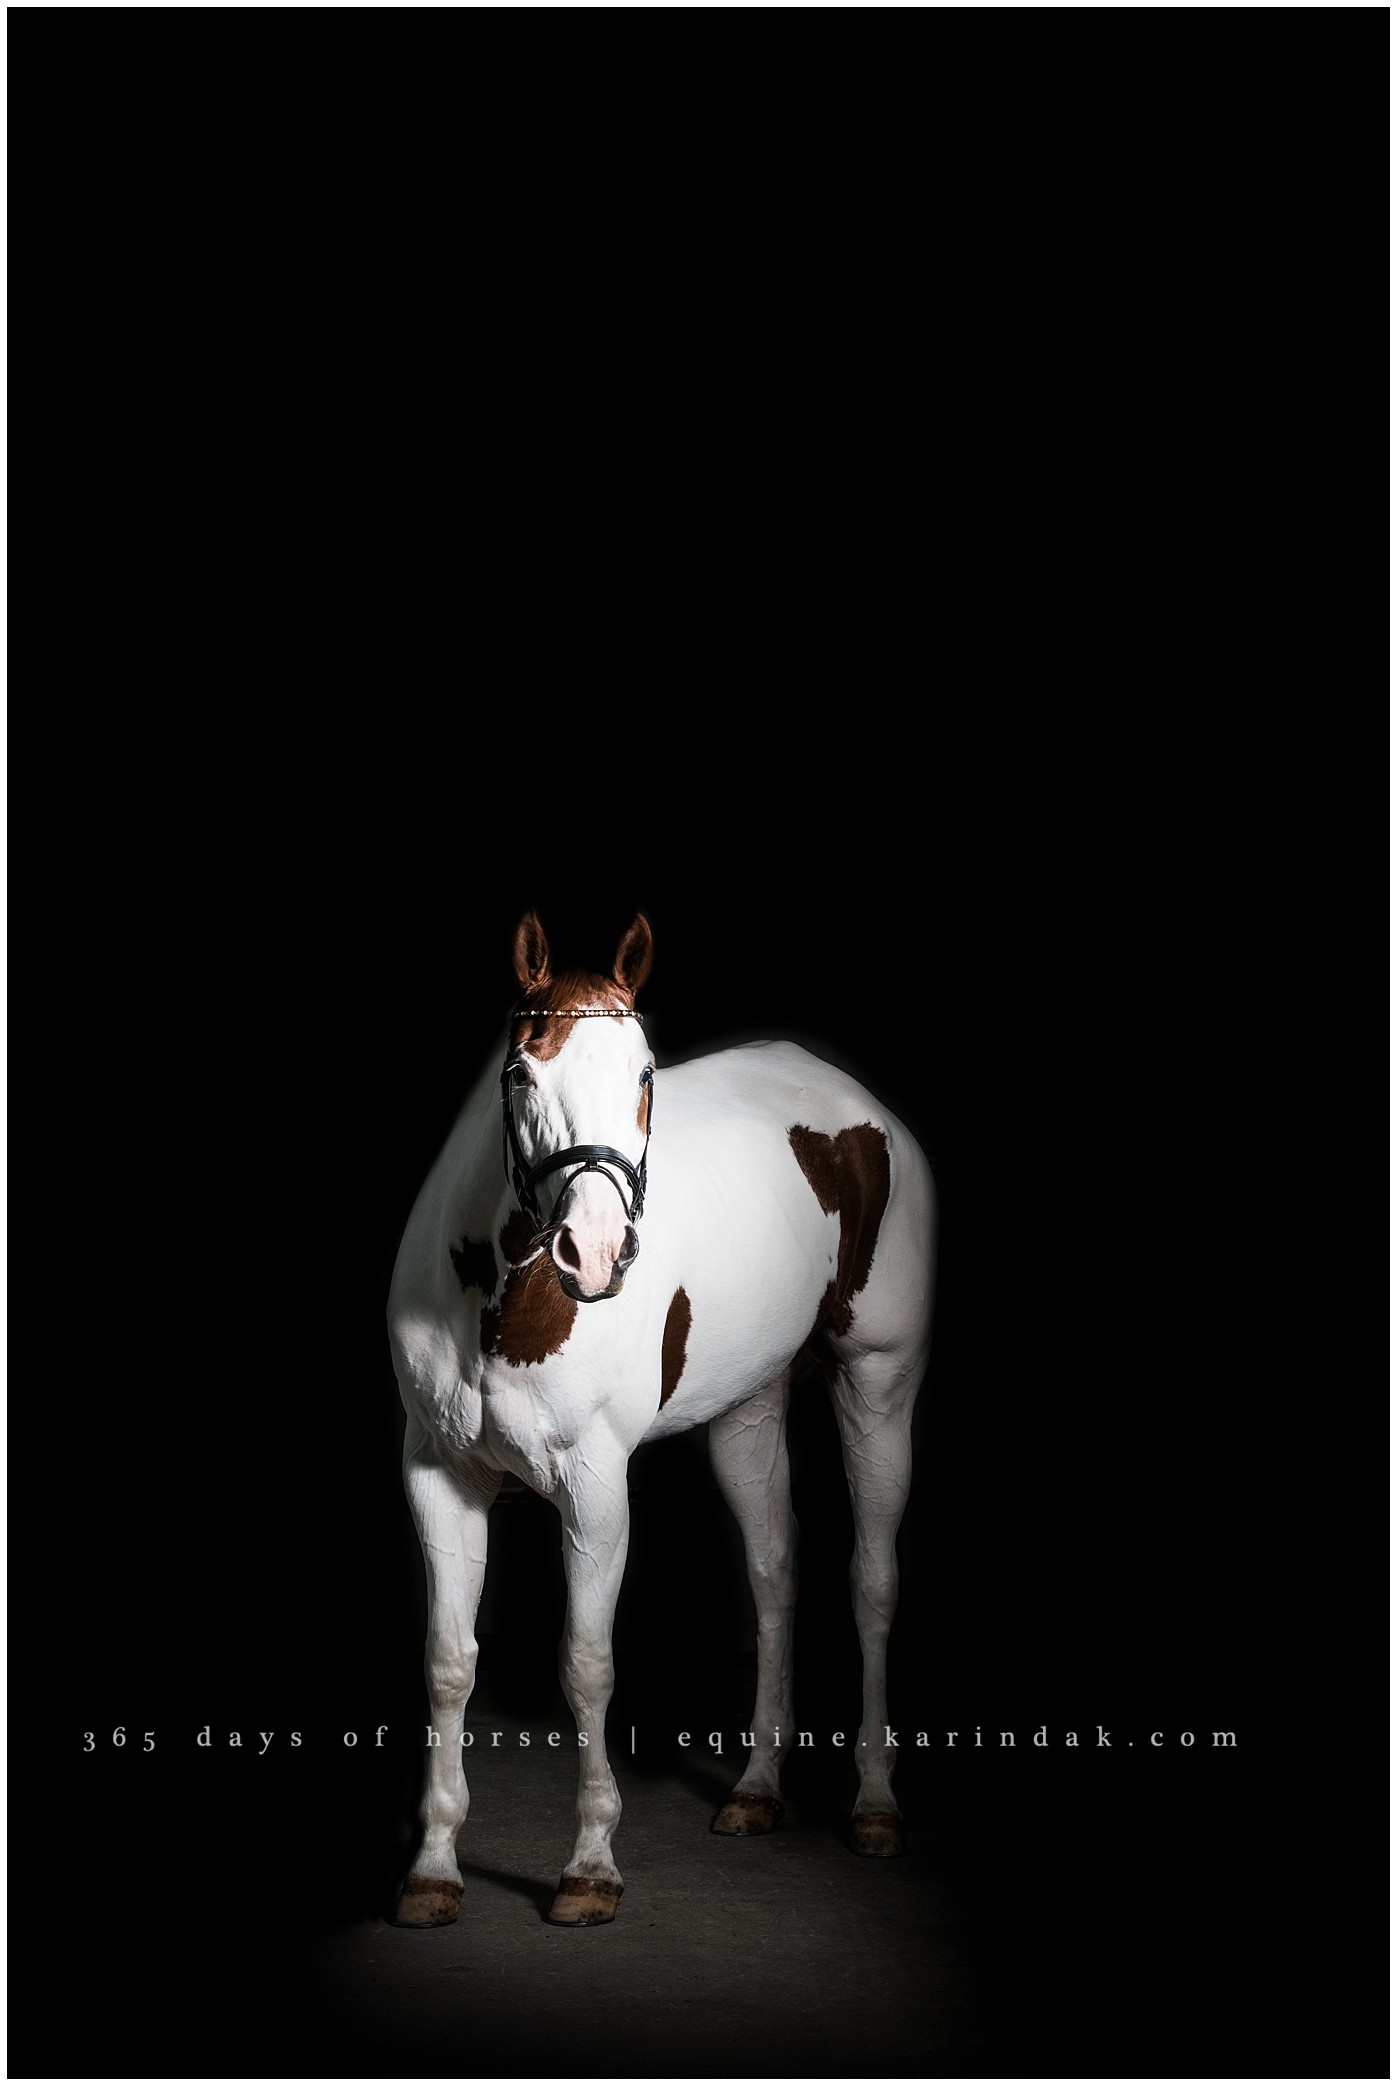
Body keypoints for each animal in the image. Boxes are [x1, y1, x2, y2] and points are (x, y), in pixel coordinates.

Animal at [387, 910, 936, 1927]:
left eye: (644, 1073)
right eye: (520, 1075)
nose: (595, 1251)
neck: (502, 1299)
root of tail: (853, 1100)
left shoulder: (595, 1488)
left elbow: (586, 1663)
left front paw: (591, 1867)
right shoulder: (438, 1475)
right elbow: (449, 1661)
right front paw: (434, 1868)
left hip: (878, 1386)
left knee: (872, 1581)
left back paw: (876, 1805)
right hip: (747, 1408)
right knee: (773, 1572)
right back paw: (756, 1787)